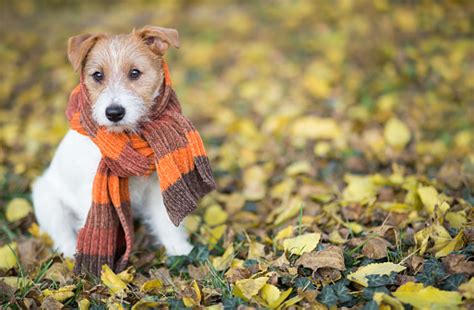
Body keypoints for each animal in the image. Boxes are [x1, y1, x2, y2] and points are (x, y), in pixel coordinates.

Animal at [32, 26, 193, 260]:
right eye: (97, 75)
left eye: (134, 73)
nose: (114, 113)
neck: (127, 138)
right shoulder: (91, 195)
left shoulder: (156, 185)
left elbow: (166, 220)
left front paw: (179, 249)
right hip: (48, 201)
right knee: (62, 233)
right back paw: (71, 253)